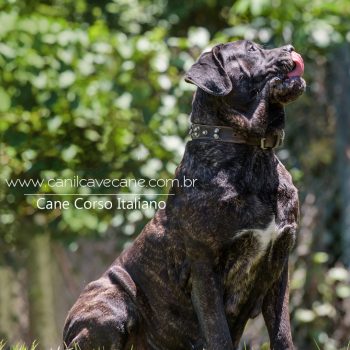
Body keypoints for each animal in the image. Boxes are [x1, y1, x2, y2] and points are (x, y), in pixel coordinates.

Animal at [64, 39, 304, 348]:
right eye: (251, 49)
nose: (291, 47)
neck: (252, 153)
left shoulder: (279, 265)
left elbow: (282, 331)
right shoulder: (204, 268)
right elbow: (218, 333)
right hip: (113, 299)